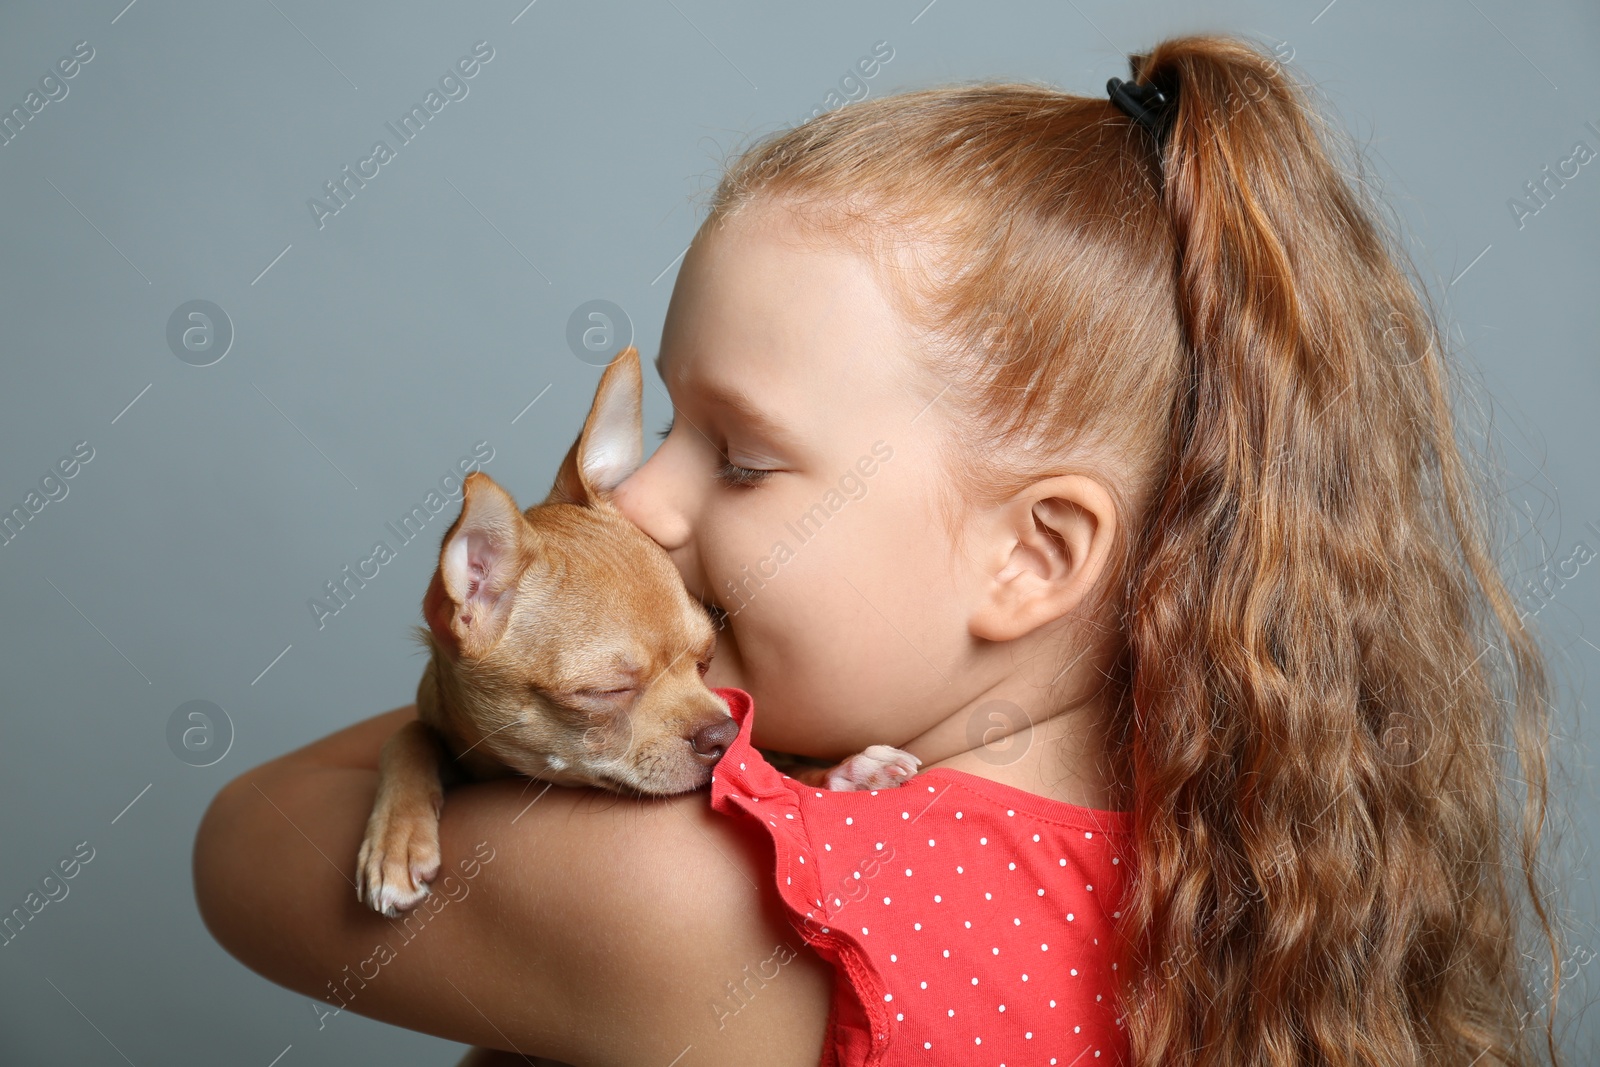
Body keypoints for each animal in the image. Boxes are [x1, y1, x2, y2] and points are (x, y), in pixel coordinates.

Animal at [355, 347, 921, 915]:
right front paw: (397, 839)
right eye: (606, 691)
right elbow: (408, 737)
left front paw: (843, 773)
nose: (725, 733)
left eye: (706, 660)